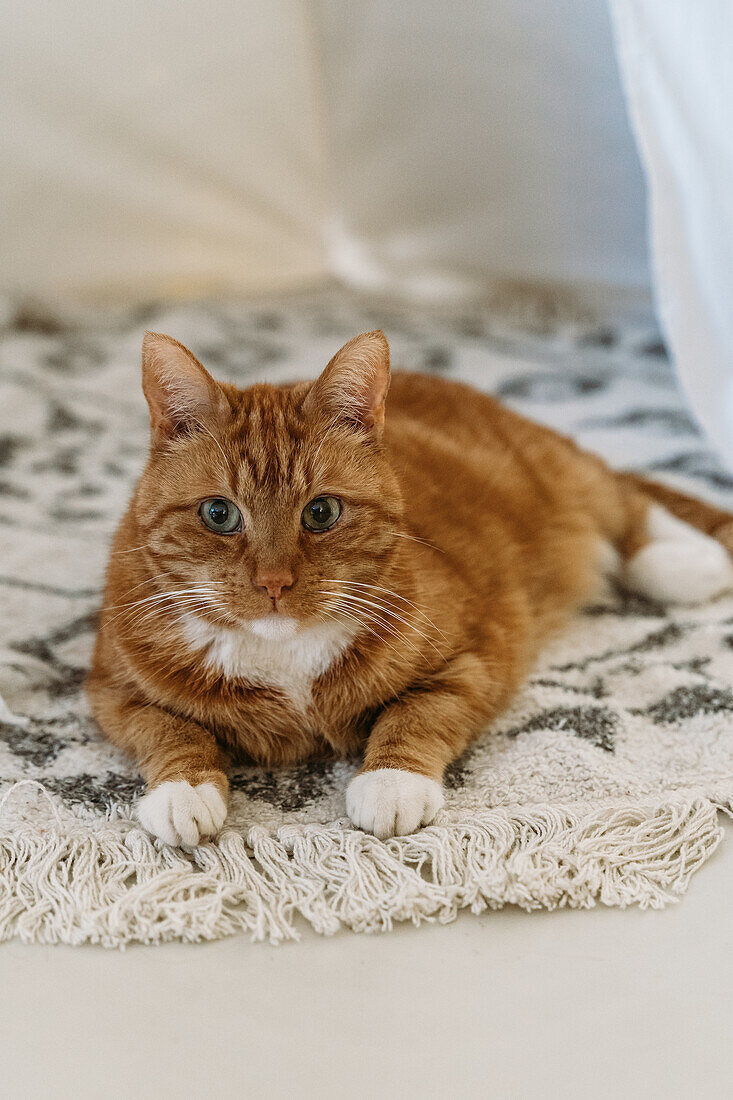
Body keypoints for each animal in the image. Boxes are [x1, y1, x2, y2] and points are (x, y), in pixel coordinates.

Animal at [86, 325, 733, 840]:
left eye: (321, 512)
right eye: (219, 514)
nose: (274, 582)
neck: (283, 655)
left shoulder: (478, 657)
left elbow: (416, 714)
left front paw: (391, 782)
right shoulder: (111, 691)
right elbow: (167, 730)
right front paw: (184, 789)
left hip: (565, 479)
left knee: (626, 501)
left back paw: (686, 561)